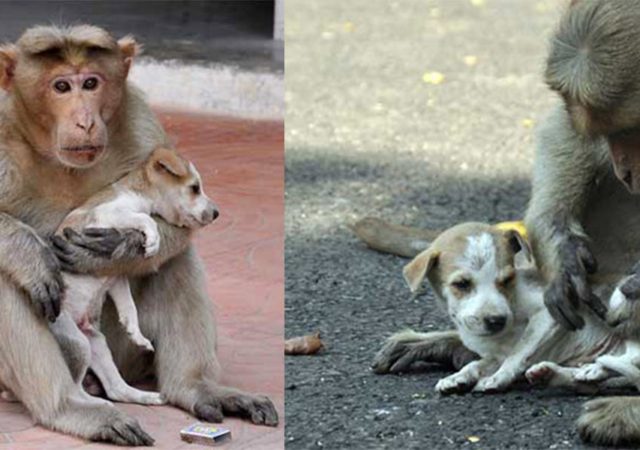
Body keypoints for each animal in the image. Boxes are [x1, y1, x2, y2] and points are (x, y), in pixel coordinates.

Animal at [48, 146, 218, 406]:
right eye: (194, 188)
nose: (216, 213)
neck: (138, 193)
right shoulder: (107, 213)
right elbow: (145, 219)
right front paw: (153, 240)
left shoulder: (115, 275)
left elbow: (129, 306)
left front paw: (135, 333)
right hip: (77, 342)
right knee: (73, 387)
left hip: (96, 343)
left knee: (116, 389)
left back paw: (148, 397)